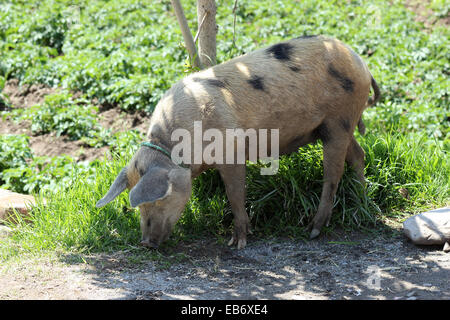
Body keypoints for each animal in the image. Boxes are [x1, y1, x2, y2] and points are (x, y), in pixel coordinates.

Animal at [95, 35, 380, 250]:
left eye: (156, 200)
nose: (145, 243)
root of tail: (361, 63)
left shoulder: (231, 153)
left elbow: (234, 194)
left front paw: (237, 243)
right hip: (338, 125)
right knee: (358, 155)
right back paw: (364, 199)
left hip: (340, 119)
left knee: (333, 173)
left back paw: (312, 230)